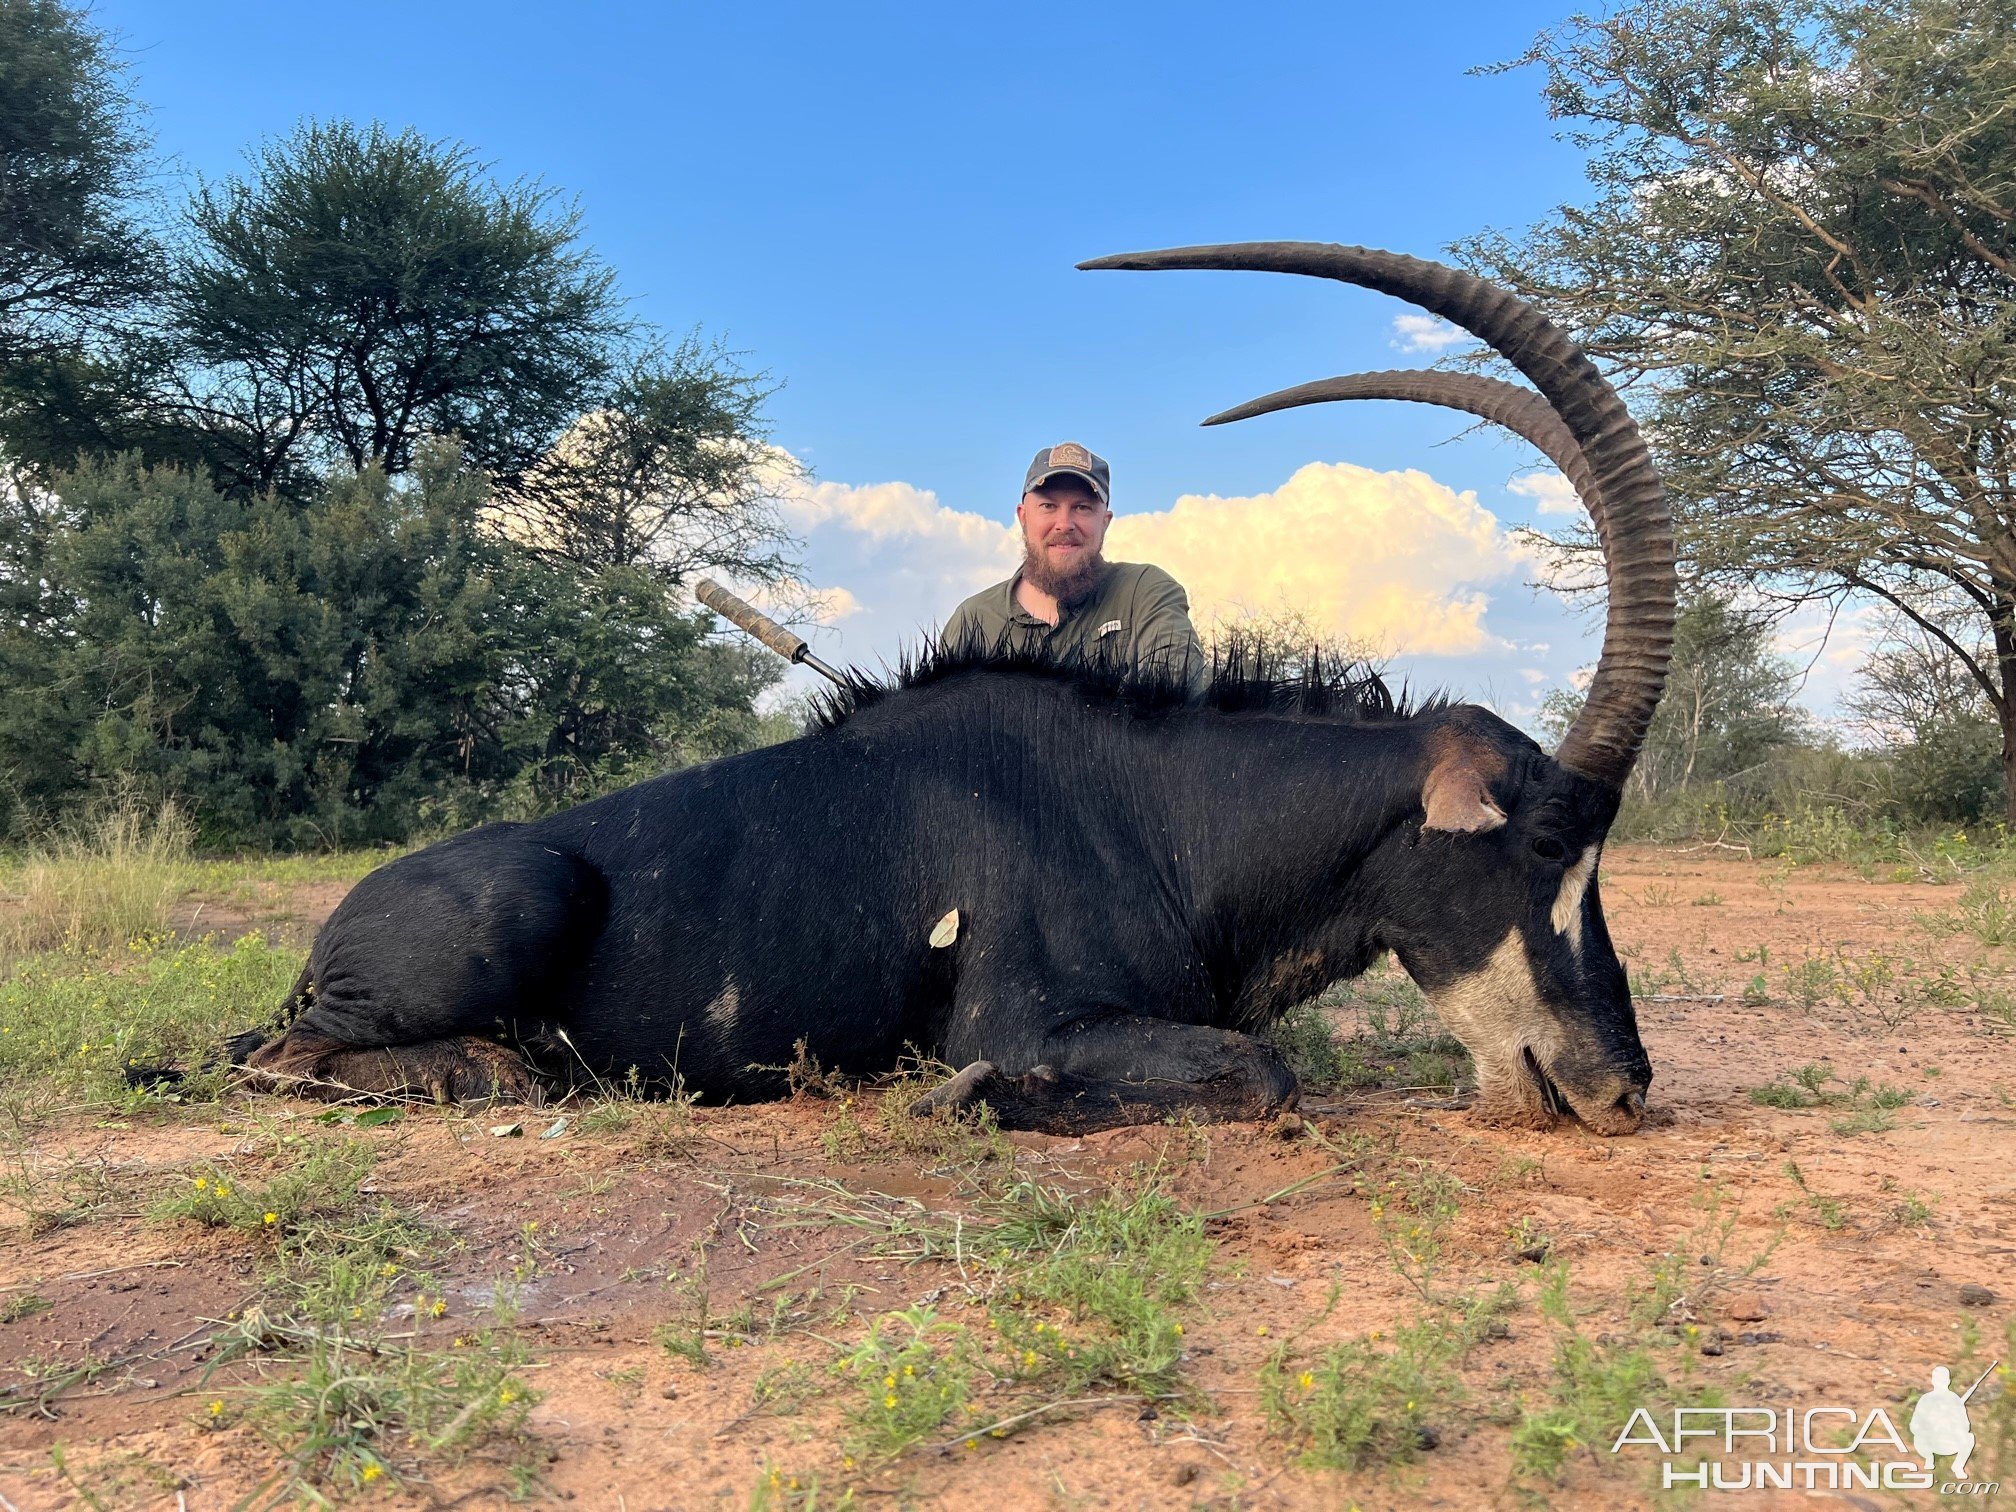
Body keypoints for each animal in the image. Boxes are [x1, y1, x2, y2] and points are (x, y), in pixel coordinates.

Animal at [235, 242, 1677, 1137]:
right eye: (1545, 843)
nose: (1621, 1090)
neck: (1167, 813)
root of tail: (331, 936)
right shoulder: (1030, 1017)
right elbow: (1260, 1072)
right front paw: (961, 1096)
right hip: (501, 913)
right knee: (289, 1065)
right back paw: (501, 1067)